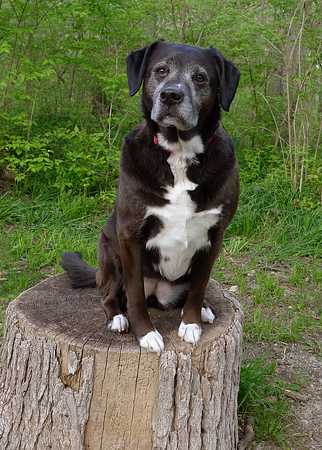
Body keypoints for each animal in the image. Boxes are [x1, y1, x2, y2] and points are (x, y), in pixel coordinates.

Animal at [61, 41, 240, 352]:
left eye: (200, 77)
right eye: (161, 70)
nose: (170, 95)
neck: (179, 153)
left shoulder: (215, 235)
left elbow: (200, 285)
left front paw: (191, 322)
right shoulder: (130, 234)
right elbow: (133, 295)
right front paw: (145, 333)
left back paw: (204, 308)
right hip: (109, 254)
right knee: (109, 295)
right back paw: (117, 318)